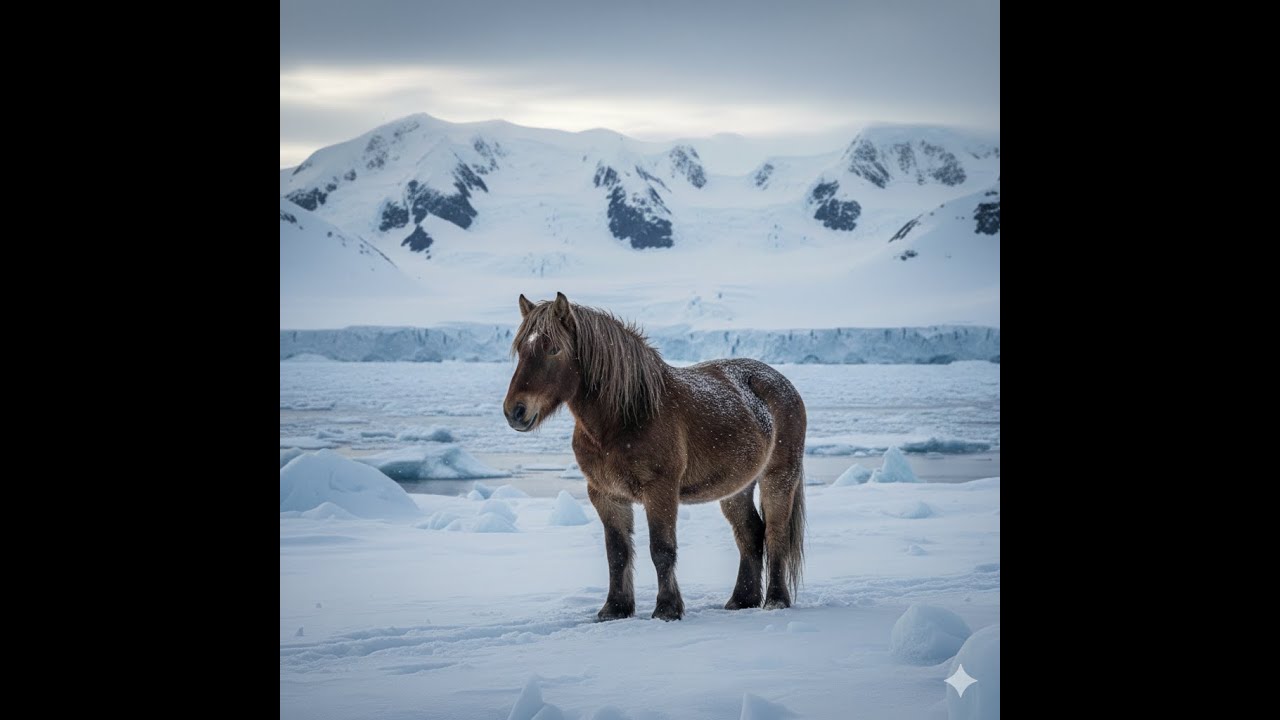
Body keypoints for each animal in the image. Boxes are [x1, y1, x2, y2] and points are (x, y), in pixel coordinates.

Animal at [503, 292, 807, 621]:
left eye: (553, 349)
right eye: (521, 350)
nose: (515, 411)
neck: (625, 417)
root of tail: (783, 384)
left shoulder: (660, 491)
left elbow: (661, 549)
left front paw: (667, 609)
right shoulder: (606, 495)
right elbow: (617, 553)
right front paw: (614, 608)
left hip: (779, 478)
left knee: (775, 534)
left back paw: (775, 600)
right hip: (737, 489)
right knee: (750, 534)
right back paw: (741, 600)